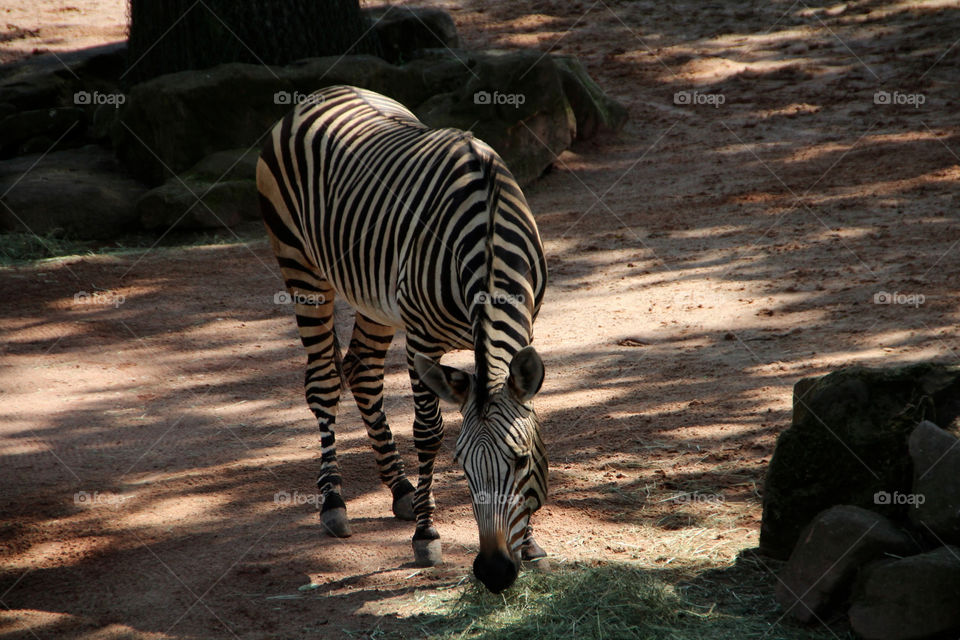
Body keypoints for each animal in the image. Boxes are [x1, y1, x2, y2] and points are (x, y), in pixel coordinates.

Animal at [256, 85, 548, 596]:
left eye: (519, 461)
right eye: (463, 468)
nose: (494, 573)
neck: (489, 236)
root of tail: (321, 93)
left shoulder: (526, 323)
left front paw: (530, 543)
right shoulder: (421, 340)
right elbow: (427, 432)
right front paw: (426, 537)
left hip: (375, 300)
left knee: (361, 371)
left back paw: (400, 490)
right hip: (302, 268)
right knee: (324, 381)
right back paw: (333, 503)